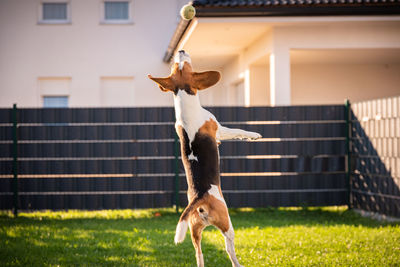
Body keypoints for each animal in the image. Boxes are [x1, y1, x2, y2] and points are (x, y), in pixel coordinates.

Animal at [148, 50, 260, 267]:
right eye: (181, 65)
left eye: (176, 65)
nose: (180, 51)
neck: (184, 101)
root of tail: (200, 198)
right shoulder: (219, 129)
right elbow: (238, 131)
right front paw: (254, 134)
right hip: (227, 224)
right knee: (229, 248)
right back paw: (238, 263)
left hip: (194, 230)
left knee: (199, 254)